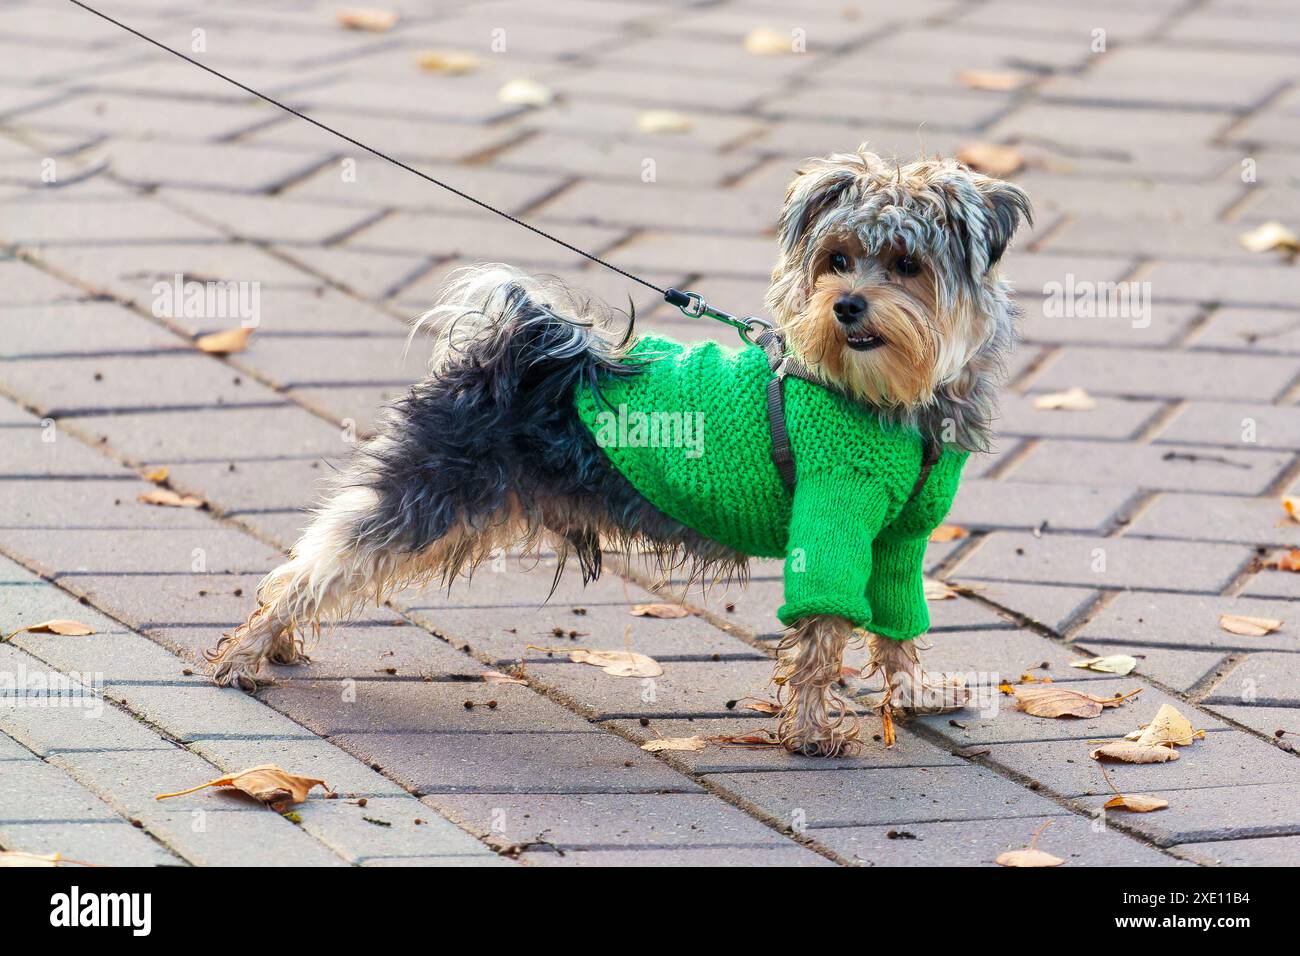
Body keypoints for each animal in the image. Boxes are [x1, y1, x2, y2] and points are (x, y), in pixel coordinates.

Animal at [208, 149, 1029, 759]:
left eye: (907, 264)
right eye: (835, 260)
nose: (846, 305)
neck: (896, 403)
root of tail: (518, 347)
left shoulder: (900, 538)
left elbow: (898, 624)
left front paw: (915, 693)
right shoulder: (832, 520)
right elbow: (822, 633)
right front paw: (811, 731)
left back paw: (276, 647)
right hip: (430, 493)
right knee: (320, 563)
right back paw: (248, 652)